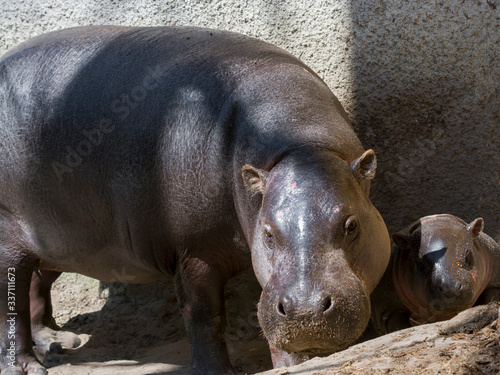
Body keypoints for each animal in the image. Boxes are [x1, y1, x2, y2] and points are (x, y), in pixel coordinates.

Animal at [0, 25, 390, 374]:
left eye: (351, 225)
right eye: (267, 233)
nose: (305, 311)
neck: (303, 144)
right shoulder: (194, 252)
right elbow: (204, 316)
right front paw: (218, 372)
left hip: (55, 237)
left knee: (36, 284)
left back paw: (57, 343)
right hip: (11, 241)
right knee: (11, 303)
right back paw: (27, 367)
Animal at [372, 214, 500, 334]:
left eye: (468, 256)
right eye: (421, 263)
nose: (450, 289)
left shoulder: (494, 282)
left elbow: (492, 296)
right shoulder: (387, 309)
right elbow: (396, 323)